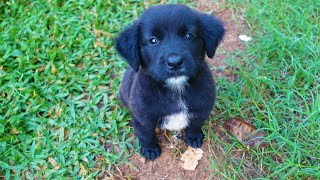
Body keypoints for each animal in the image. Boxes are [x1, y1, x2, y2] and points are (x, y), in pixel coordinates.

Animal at [115, 3, 225, 159]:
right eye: (153, 40)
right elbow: (146, 134)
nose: (175, 62)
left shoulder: (202, 108)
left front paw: (194, 137)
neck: (176, 86)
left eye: (189, 36)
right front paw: (150, 149)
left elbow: (195, 124)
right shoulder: (142, 117)